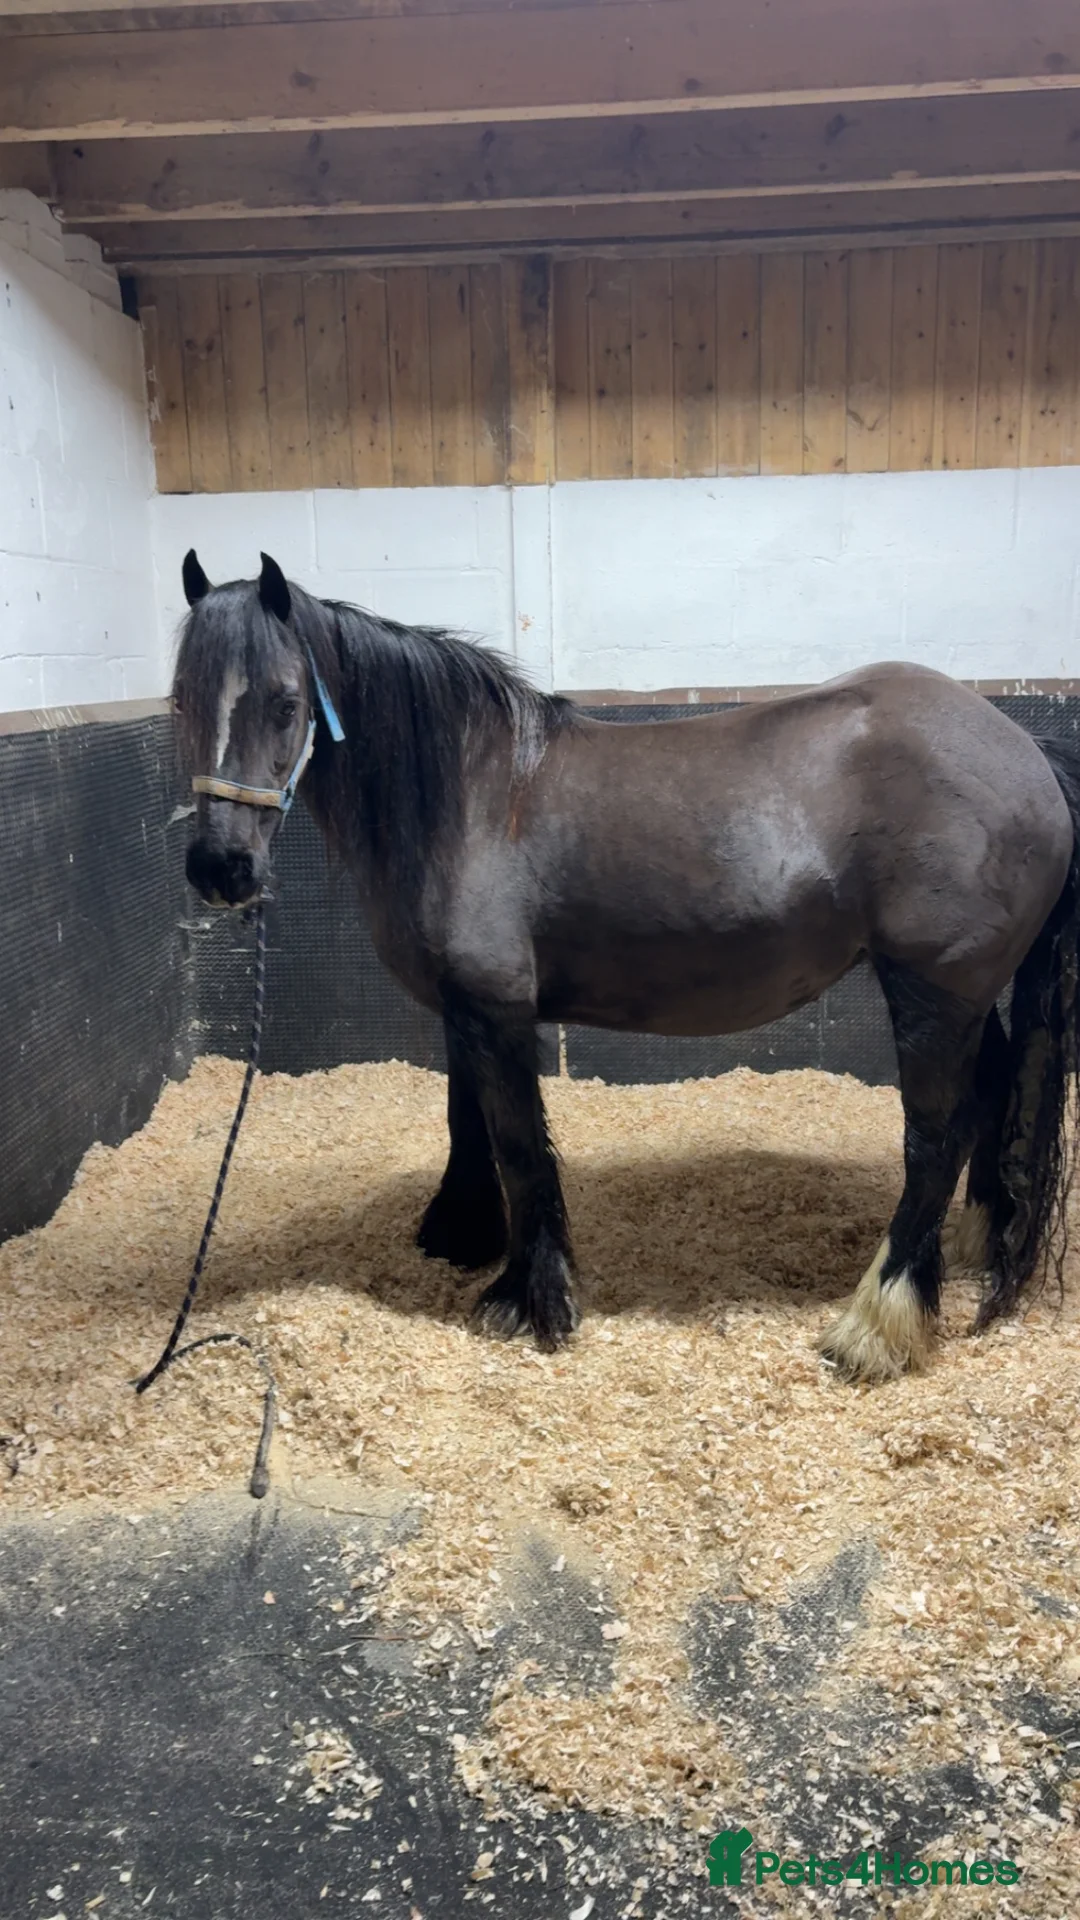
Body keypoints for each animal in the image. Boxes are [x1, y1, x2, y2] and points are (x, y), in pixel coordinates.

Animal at [172, 549, 1080, 1384]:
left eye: (286, 702)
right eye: (182, 700)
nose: (221, 868)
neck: (473, 797)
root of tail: (1025, 748)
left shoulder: (496, 1008)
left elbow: (519, 1146)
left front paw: (531, 1300)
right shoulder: (462, 1006)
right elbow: (467, 1123)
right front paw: (461, 1234)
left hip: (933, 992)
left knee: (935, 1138)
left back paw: (876, 1326)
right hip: (963, 996)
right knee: (991, 1101)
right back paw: (972, 1249)